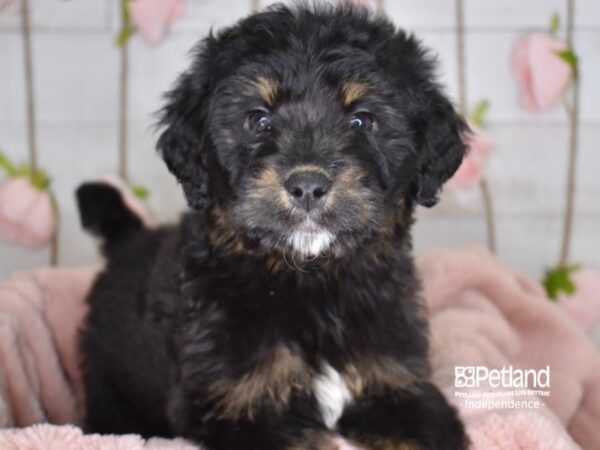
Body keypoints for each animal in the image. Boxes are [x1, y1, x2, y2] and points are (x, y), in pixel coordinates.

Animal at [76, 3, 468, 450]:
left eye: (362, 120)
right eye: (258, 119)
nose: (308, 185)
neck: (312, 280)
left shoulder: (399, 383)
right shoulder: (238, 406)